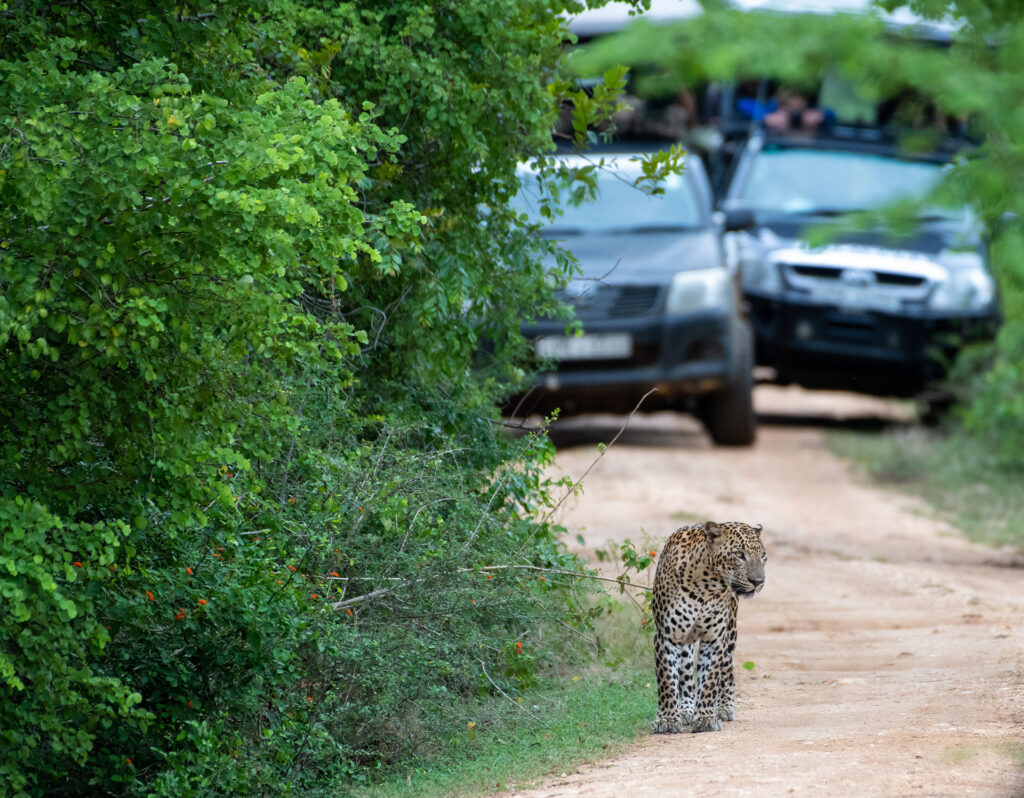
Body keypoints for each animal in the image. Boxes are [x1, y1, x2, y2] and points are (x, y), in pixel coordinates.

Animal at [651, 520, 765, 733]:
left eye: (763, 556)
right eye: (739, 554)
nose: (758, 582)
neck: (704, 586)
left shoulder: (715, 638)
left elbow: (710, 679)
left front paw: (705, 718)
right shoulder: (666, 636)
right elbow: (667, 681)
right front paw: (667, 720)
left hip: (730, 632)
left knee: (727, 671)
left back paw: (725, 707)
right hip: (686, 642)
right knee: (686, 676)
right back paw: (685, 710)